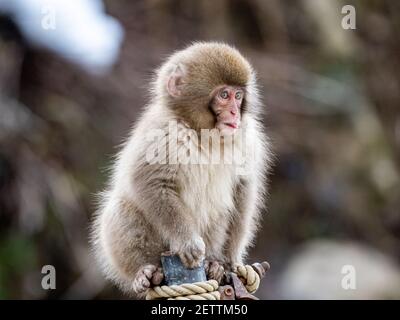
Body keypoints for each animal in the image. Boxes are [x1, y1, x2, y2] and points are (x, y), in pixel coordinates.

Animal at [91, 42, 272, 298]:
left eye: (238, 96)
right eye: (224, 95)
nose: (235, 113)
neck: (204, 133)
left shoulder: (247, 137)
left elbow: (243, 189)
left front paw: (229, 262)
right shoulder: (162, 130)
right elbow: (151, 182)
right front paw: (187, 241)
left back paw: (214, 264)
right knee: (120, 208)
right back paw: (146, 272)